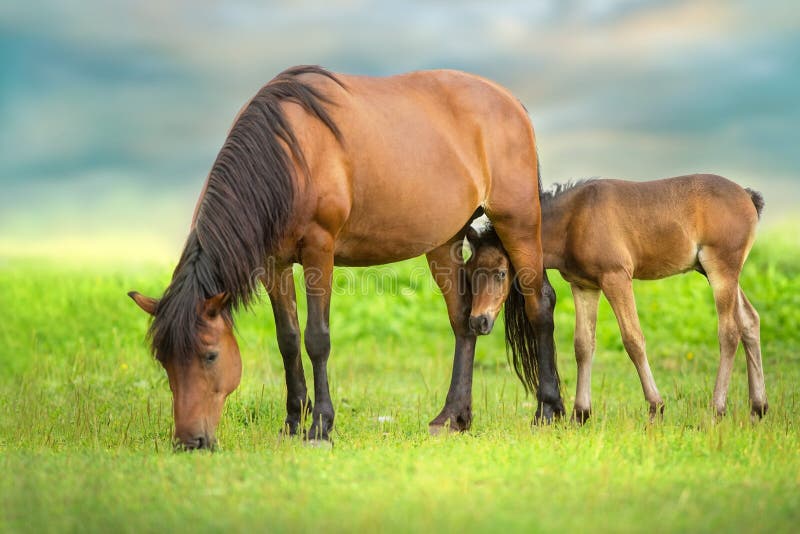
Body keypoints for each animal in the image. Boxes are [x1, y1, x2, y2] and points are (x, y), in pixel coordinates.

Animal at [468, 176, 768, 422]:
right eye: (471, 271)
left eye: (501, 273)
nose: (478, 321)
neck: (575, 218)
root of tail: (747, 195)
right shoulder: (584, 286)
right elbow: (583, 345)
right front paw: (580, 413)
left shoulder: (617, 278)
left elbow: (633, 339)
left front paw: (655, 407)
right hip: (713, 272)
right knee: (750, 321)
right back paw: (758, 407)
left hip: (721, 270)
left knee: (729, 332)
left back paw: (717, 409)